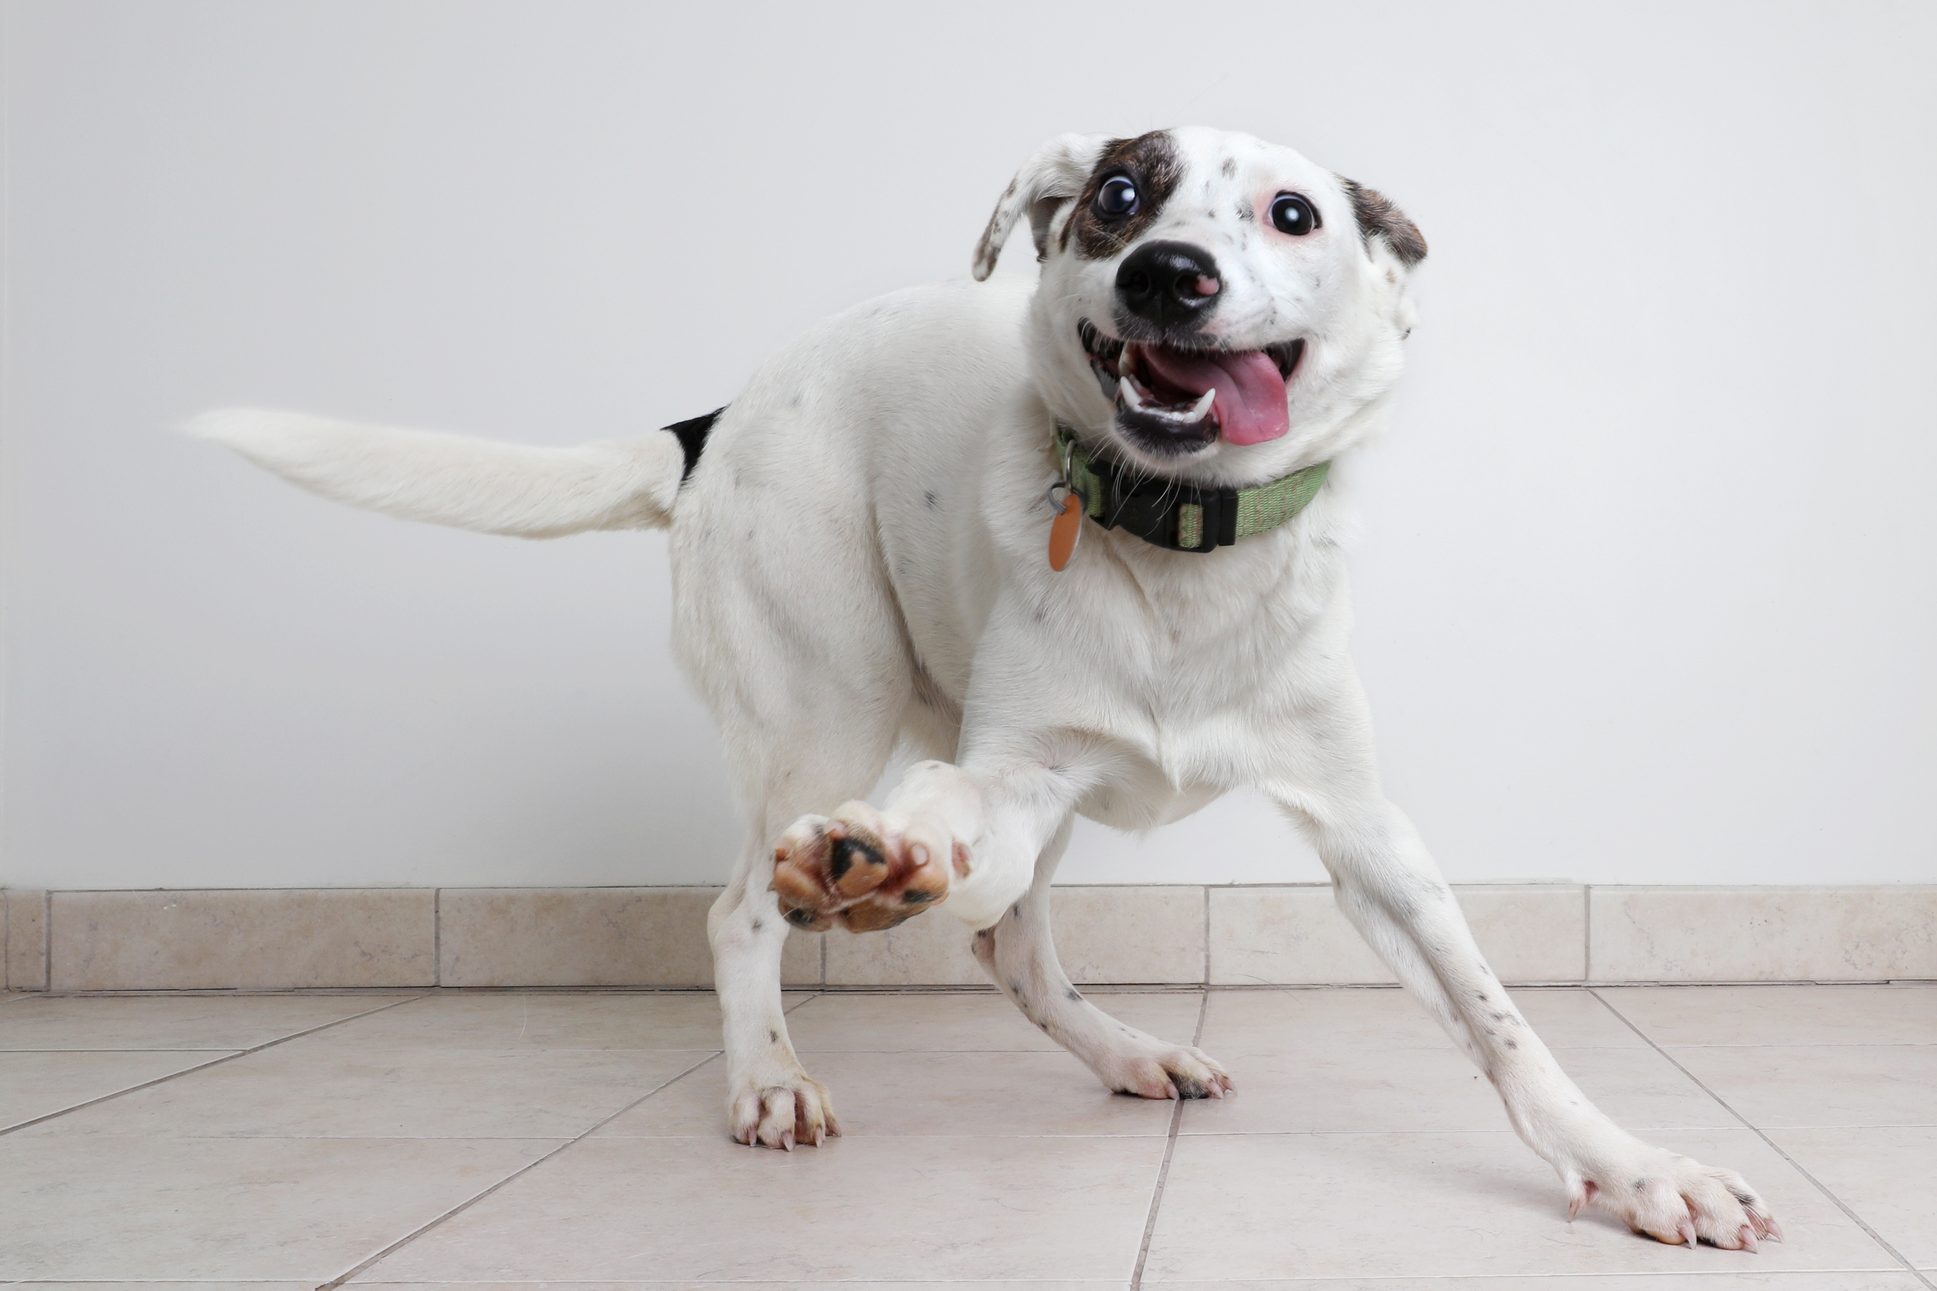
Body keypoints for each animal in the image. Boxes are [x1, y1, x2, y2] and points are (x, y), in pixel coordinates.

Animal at [196, 125, 1782, 1240]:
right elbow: (938, 833)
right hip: (824, 695)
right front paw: (877, 862)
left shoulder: (1364, 830)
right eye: (1122, 195)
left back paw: (1122, 1049)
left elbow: (1503, 1025)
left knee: (1008, 944)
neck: (1175, 540)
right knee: (750, 906)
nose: (1164, 273)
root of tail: (718, 415)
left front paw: (1636, 1165)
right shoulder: (1015, 765)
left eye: (1292, 213)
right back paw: (778, 1054)